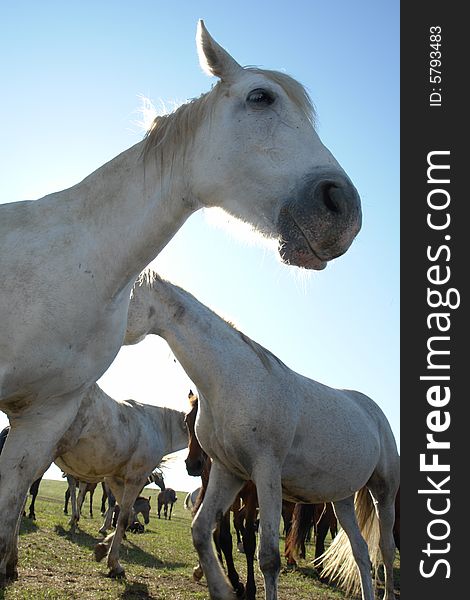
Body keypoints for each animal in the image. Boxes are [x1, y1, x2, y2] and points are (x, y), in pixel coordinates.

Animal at [52, 382, 188, 580]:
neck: (157, 427)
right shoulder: (134, 480)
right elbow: (123, 515)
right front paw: (113, 561)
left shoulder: (115, 479)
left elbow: (126, 511)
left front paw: (103, 545)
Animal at [185, 392, 258, 596]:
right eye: (186, 420)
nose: (192, 464)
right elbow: (224, 538)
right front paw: (235, 581)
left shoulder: (251, 496)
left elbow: (249, 539)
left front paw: (250, 588)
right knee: (216, 533)